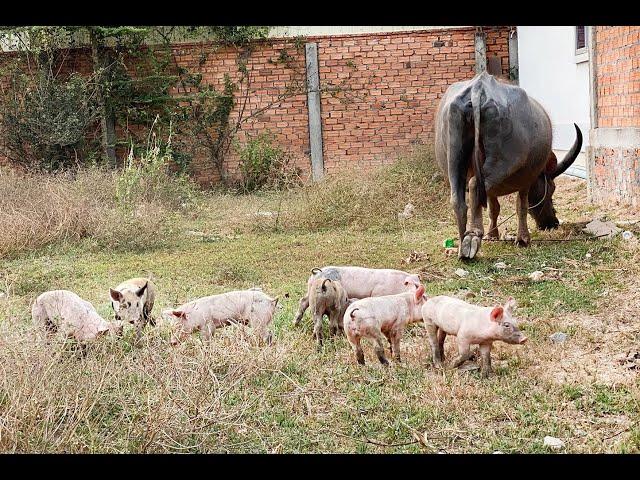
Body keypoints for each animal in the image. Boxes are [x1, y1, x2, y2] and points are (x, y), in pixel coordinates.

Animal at [436, 71, 580, 258]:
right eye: (551, 189)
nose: (552, 223)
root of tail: (478, 88)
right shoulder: (527, 179)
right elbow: (521, 206)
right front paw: (523, 239)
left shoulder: (493, 189)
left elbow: (493, 208)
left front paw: (493, 235)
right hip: (502, 162)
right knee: (474, 185)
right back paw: (472, 237)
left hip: (454, 153)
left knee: (458, 198)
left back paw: (462, 245)